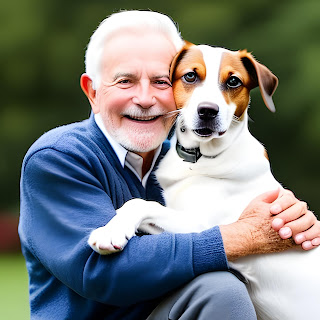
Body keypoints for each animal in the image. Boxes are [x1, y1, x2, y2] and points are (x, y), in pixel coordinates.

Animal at [88, 43, 320, 320]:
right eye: (190, 76)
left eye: (233, 81)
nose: (208, 110)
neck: (200, 158)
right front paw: (115, 227)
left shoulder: (204, 226)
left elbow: (142, 204)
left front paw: (109, 233)